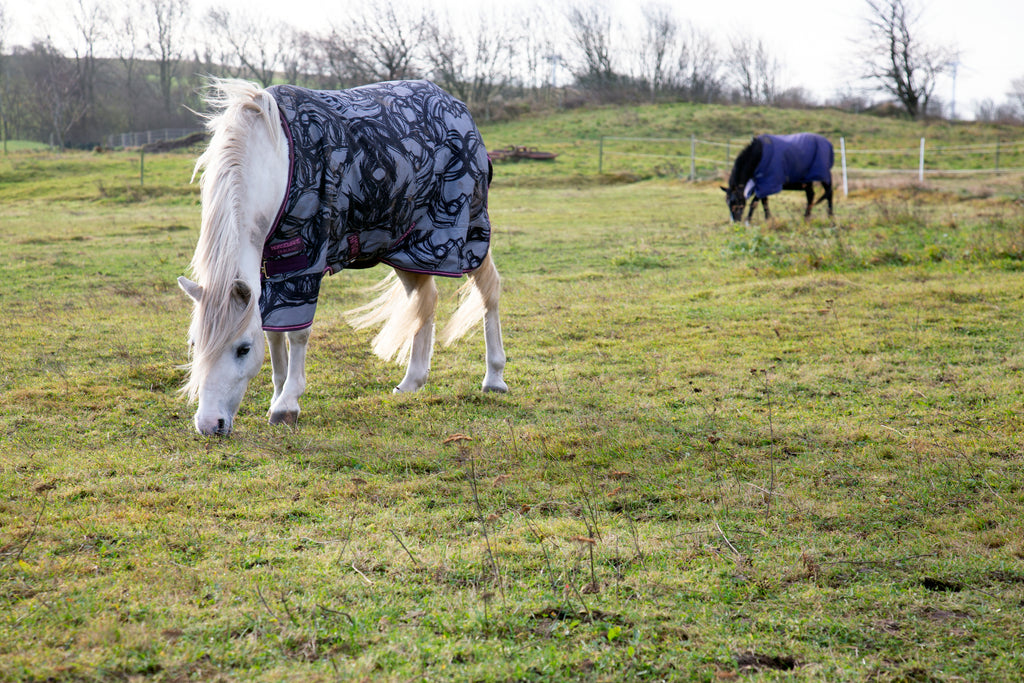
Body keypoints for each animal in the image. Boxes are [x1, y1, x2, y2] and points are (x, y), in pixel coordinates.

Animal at [182, 78, 509, 432]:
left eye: (242, 349)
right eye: (194, 344)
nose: (209, 424)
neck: (276, 162)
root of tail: (458, 108)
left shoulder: (302, 266)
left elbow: (297, 333)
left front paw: (287, 404)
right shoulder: (272, 271)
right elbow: (273, 335)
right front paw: (277, 395)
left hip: (467, 238)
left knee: (489, 289)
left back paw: (494, 377)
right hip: (409, 249)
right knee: (425, 300)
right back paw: (412, 382)